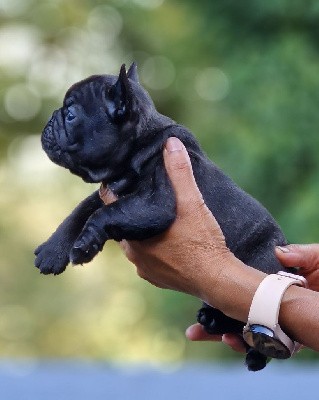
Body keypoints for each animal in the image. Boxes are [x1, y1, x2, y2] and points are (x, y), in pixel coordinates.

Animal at [36, 62, 288, 372]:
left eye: (71, 115)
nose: (50, 120)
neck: (137, 145)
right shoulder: (109, 192)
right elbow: (82, 209)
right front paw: (52, 250)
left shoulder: (156, 202)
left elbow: (103, 213)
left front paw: (85, 245)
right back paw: (213, 320)